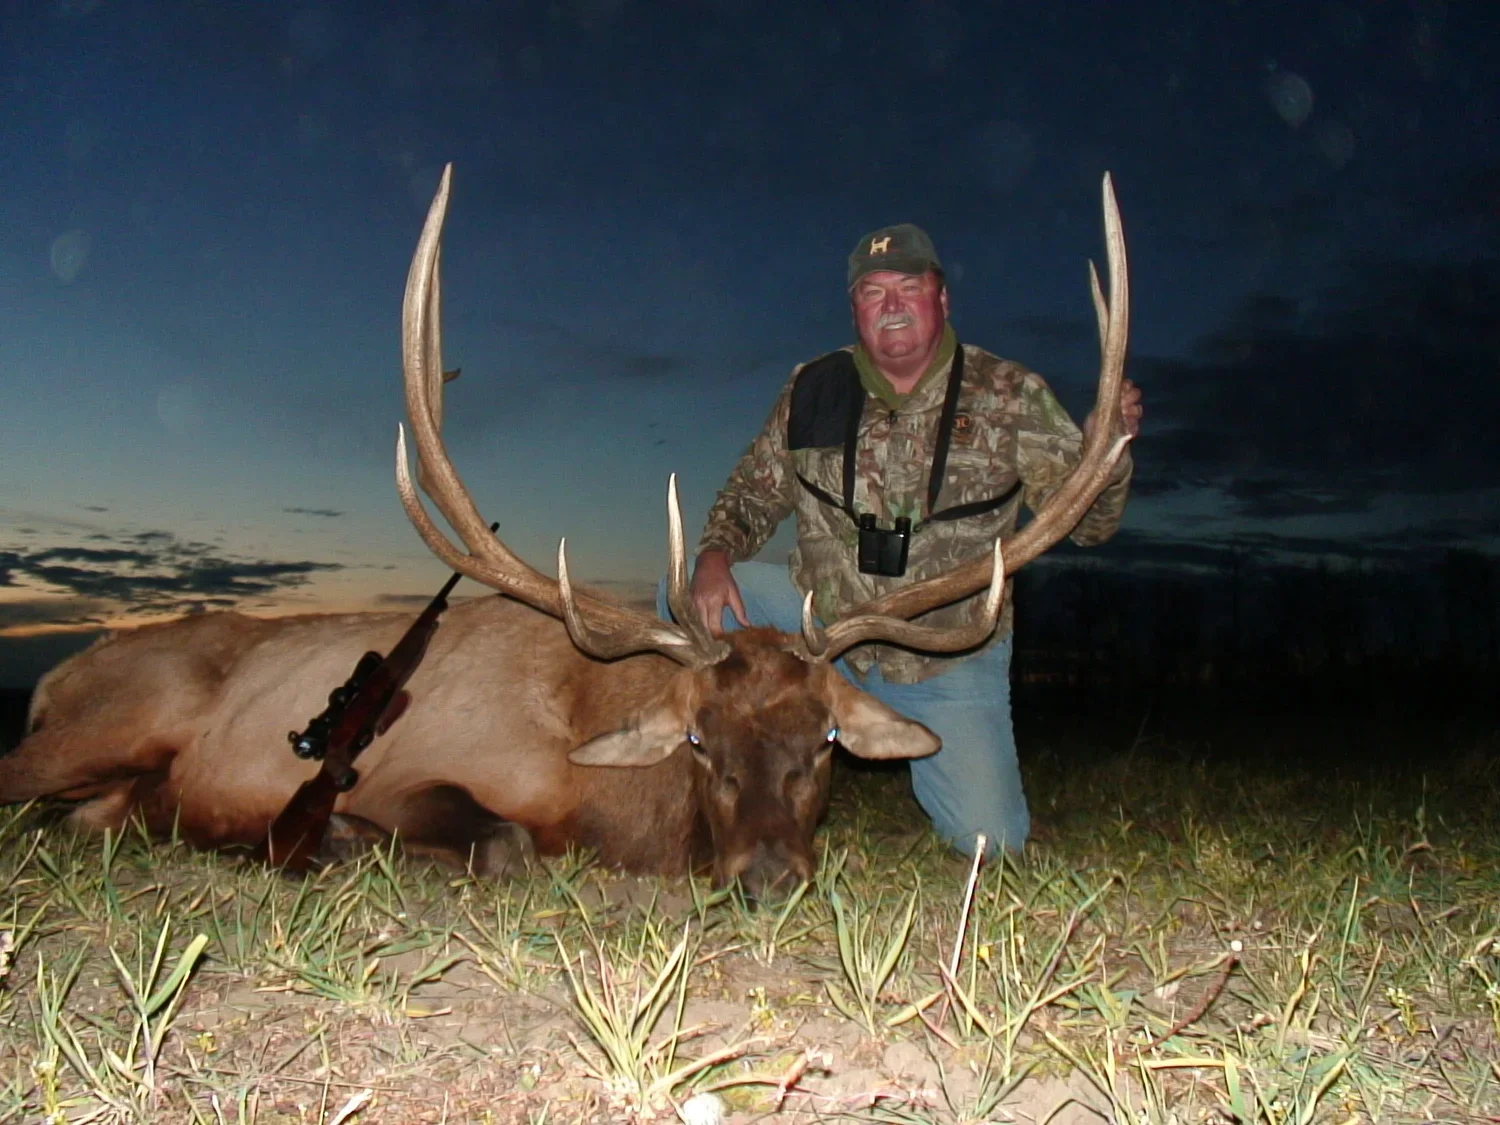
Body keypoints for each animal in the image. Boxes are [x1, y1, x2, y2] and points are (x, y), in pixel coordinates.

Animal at [0, 166, 1131, 896]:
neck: (601, 792)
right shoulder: (417, 767)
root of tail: (56, 675)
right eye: (702, 744)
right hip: (115, 717)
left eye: (821, 746)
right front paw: (337, 843)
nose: (767, 876)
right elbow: (499, 841)